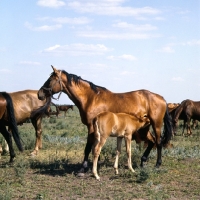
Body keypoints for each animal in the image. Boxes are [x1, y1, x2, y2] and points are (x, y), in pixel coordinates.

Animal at [38, 65, 173, 175]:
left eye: (50, 79)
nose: (40, 94)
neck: (91, 98)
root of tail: (161, 98)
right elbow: (93, 147)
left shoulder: (91, 127)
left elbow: (88, 147)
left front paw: (83, 168)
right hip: (144, 128)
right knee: (151, 141)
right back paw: (142, 162)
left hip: (156, 125)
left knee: (158, 142)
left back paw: (157, 164)